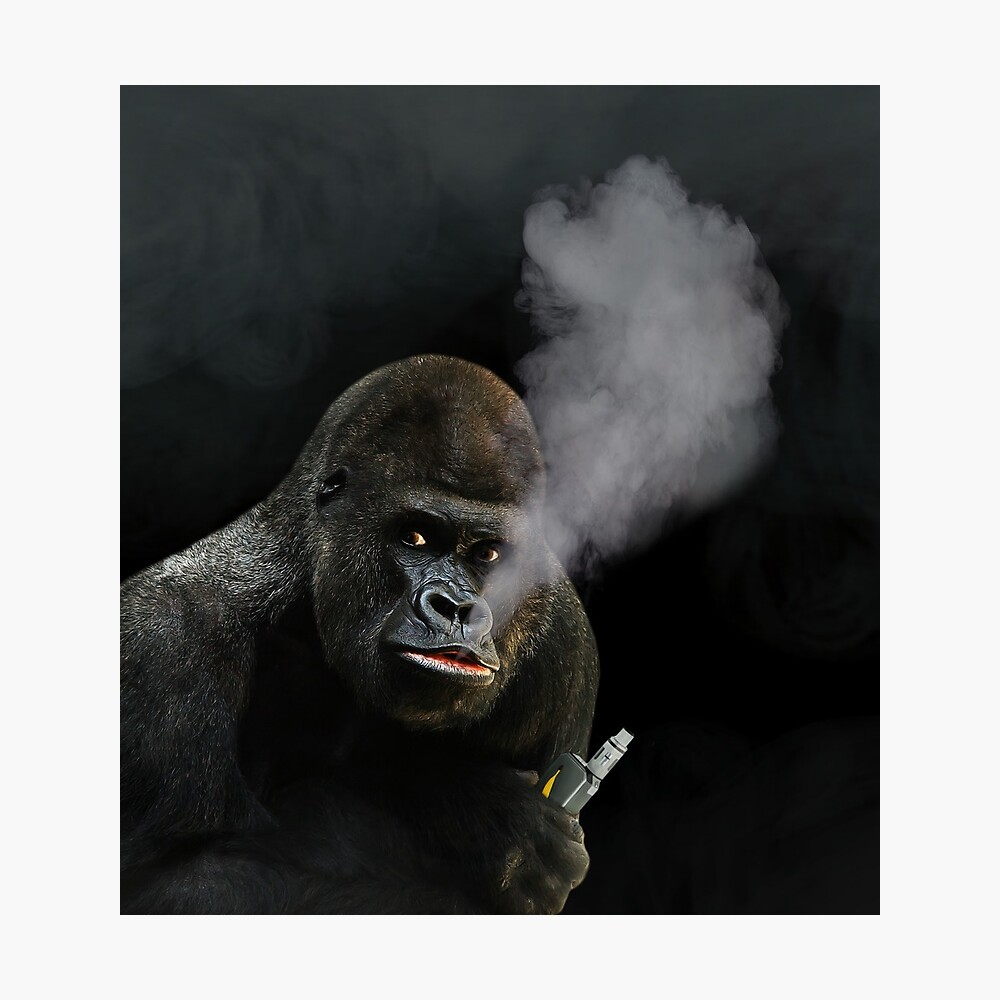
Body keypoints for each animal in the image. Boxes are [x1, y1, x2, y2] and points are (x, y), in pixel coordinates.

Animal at [121, 354, 599, 913]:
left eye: (488, 554)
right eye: (414, 536)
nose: (458, 609)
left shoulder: (564, 644)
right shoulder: (164, 642)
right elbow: (175, 884)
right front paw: (477, 818)